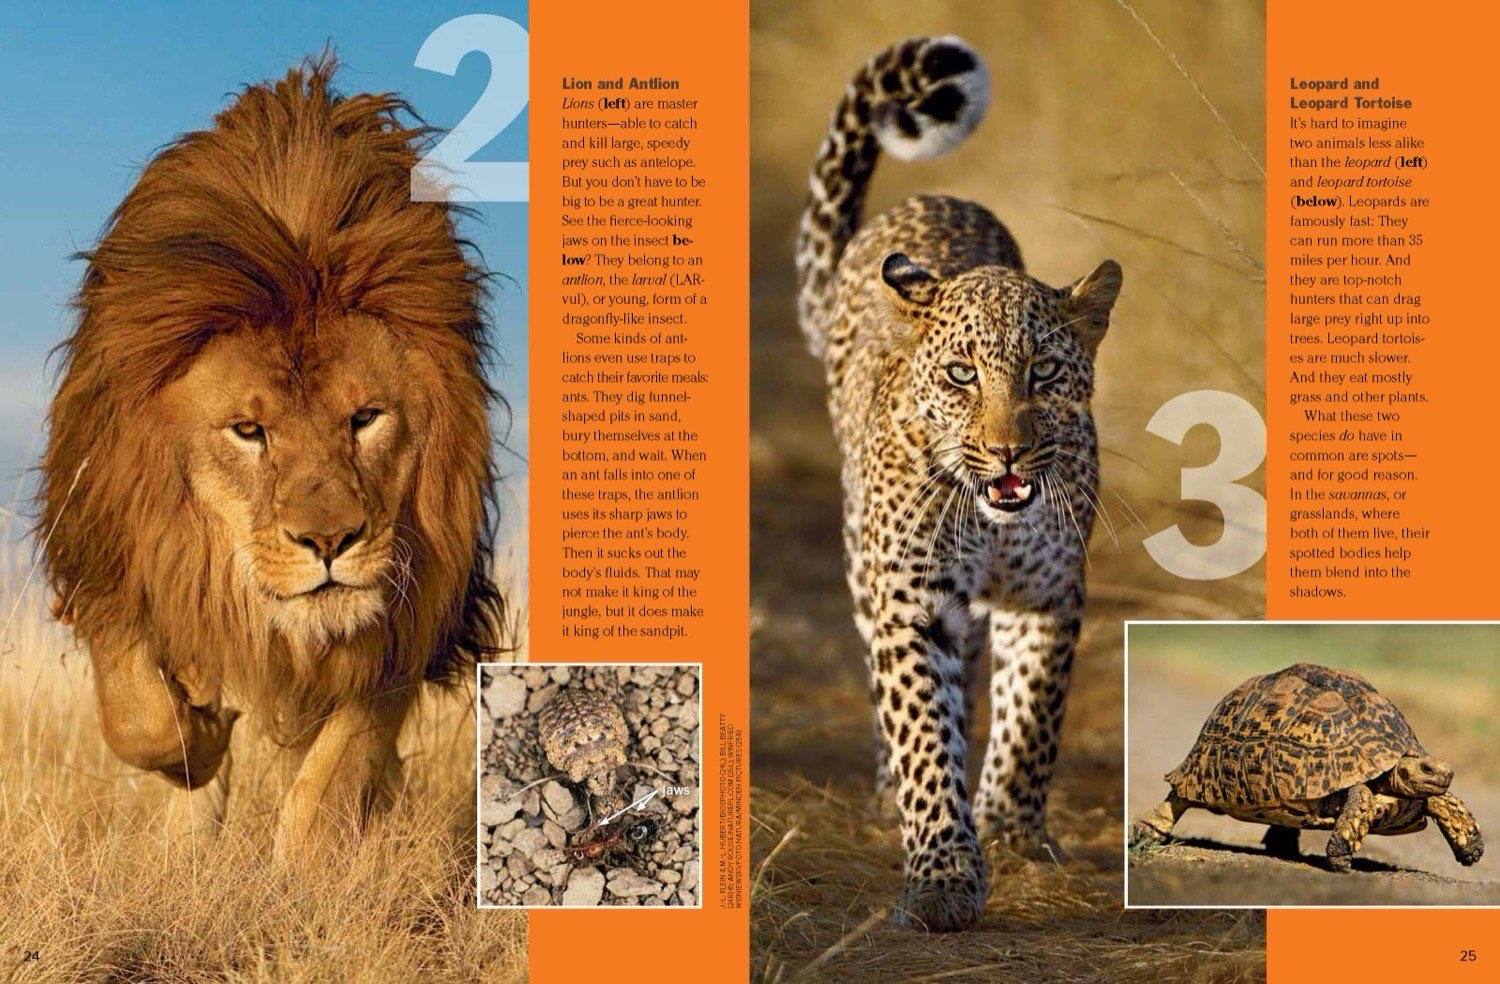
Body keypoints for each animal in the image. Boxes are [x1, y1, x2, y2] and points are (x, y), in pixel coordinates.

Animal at [37, 56, 506, 862]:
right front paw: (198, 745)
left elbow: (335, 772)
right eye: (249, 431)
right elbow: (141, 716)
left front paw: (307, 868)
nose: (330, 541)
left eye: (365, 418)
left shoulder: (415, 596)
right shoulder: (115, 548)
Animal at [794, 35, 1122, 932]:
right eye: (961, 375)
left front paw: (1011, 830)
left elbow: (1033, 715)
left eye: (1045, 373)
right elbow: (921, 735)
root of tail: (929, 194)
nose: (1007, 453)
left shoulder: (1048, 596)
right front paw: (942, 873)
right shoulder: (913, 602)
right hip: (863, 563)